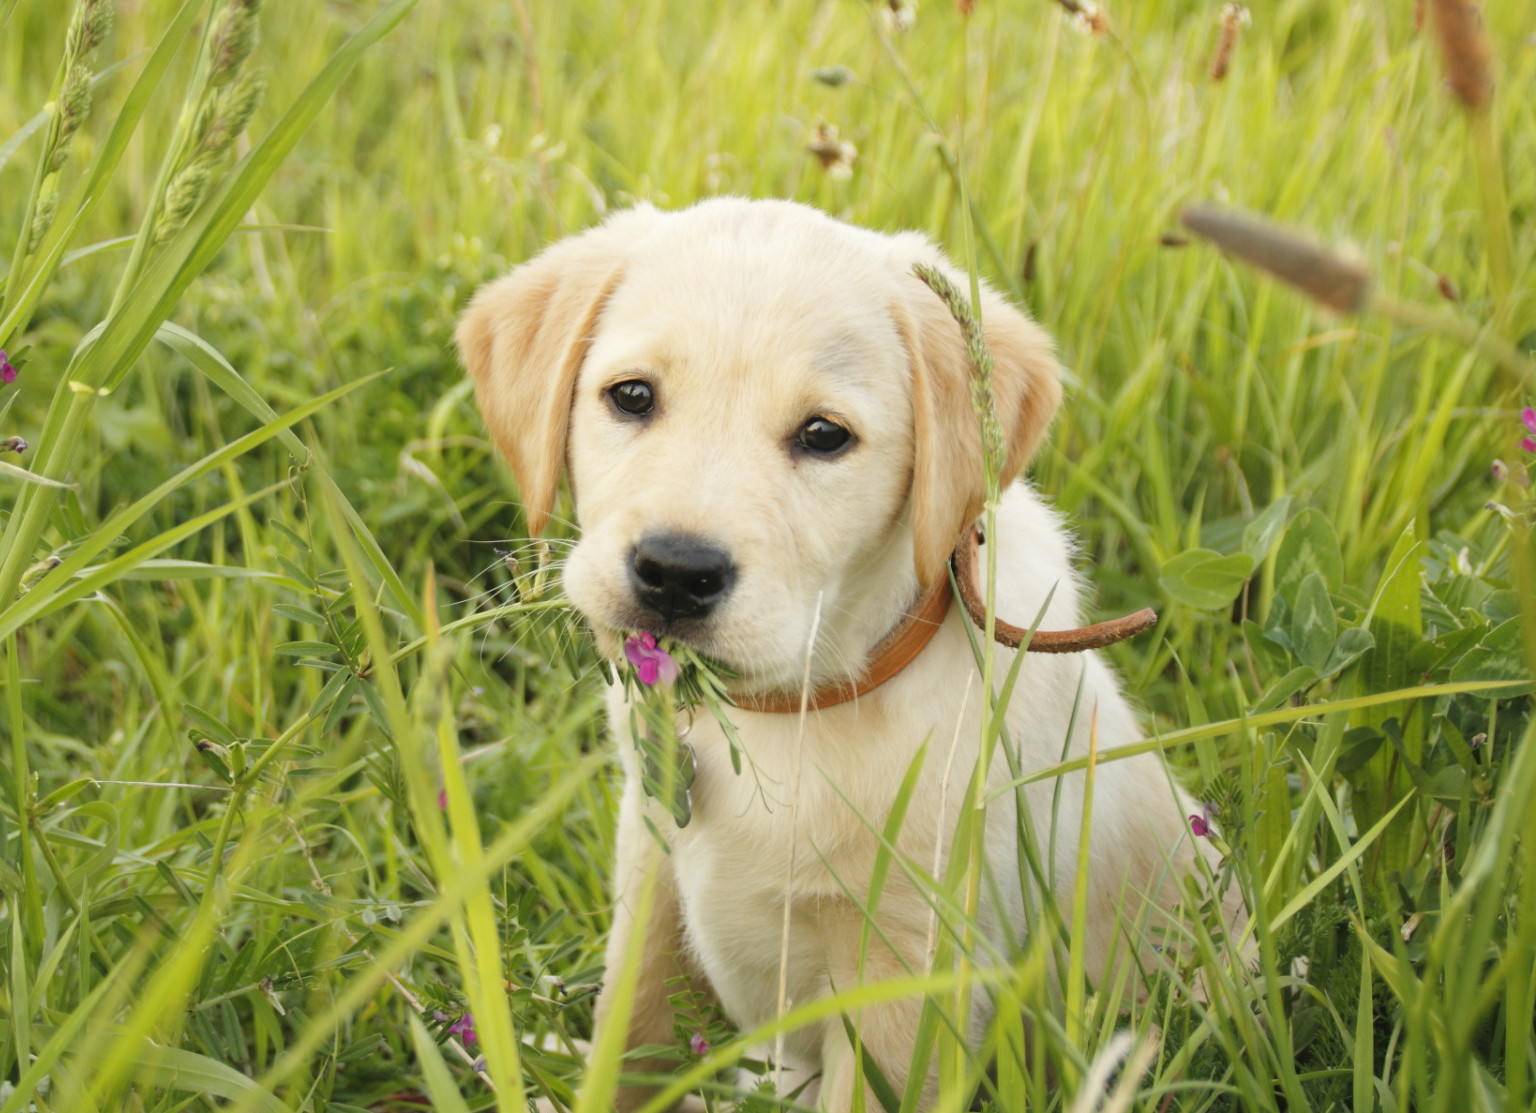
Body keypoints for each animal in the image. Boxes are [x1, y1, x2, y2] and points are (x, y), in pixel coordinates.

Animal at [454, 198, 1222, 1105]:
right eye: (632, 396)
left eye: (824, 435)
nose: (675, 572)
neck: (795, 707)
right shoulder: (652, 882)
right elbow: (628, 1048)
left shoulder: (904, 974)